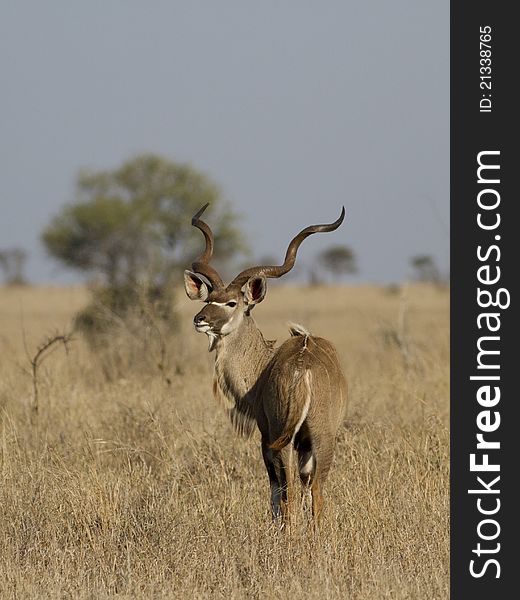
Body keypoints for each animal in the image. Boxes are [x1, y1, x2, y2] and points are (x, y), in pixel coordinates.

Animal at [185, 204, 348, 524]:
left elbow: (276, 493)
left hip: (282, 440)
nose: (200, 319)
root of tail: (304, 369)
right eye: (209, 298)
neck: (264, 363)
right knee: (316, 489)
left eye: (232, 303)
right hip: (320, 437)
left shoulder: (265, 435)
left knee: (290, 491)